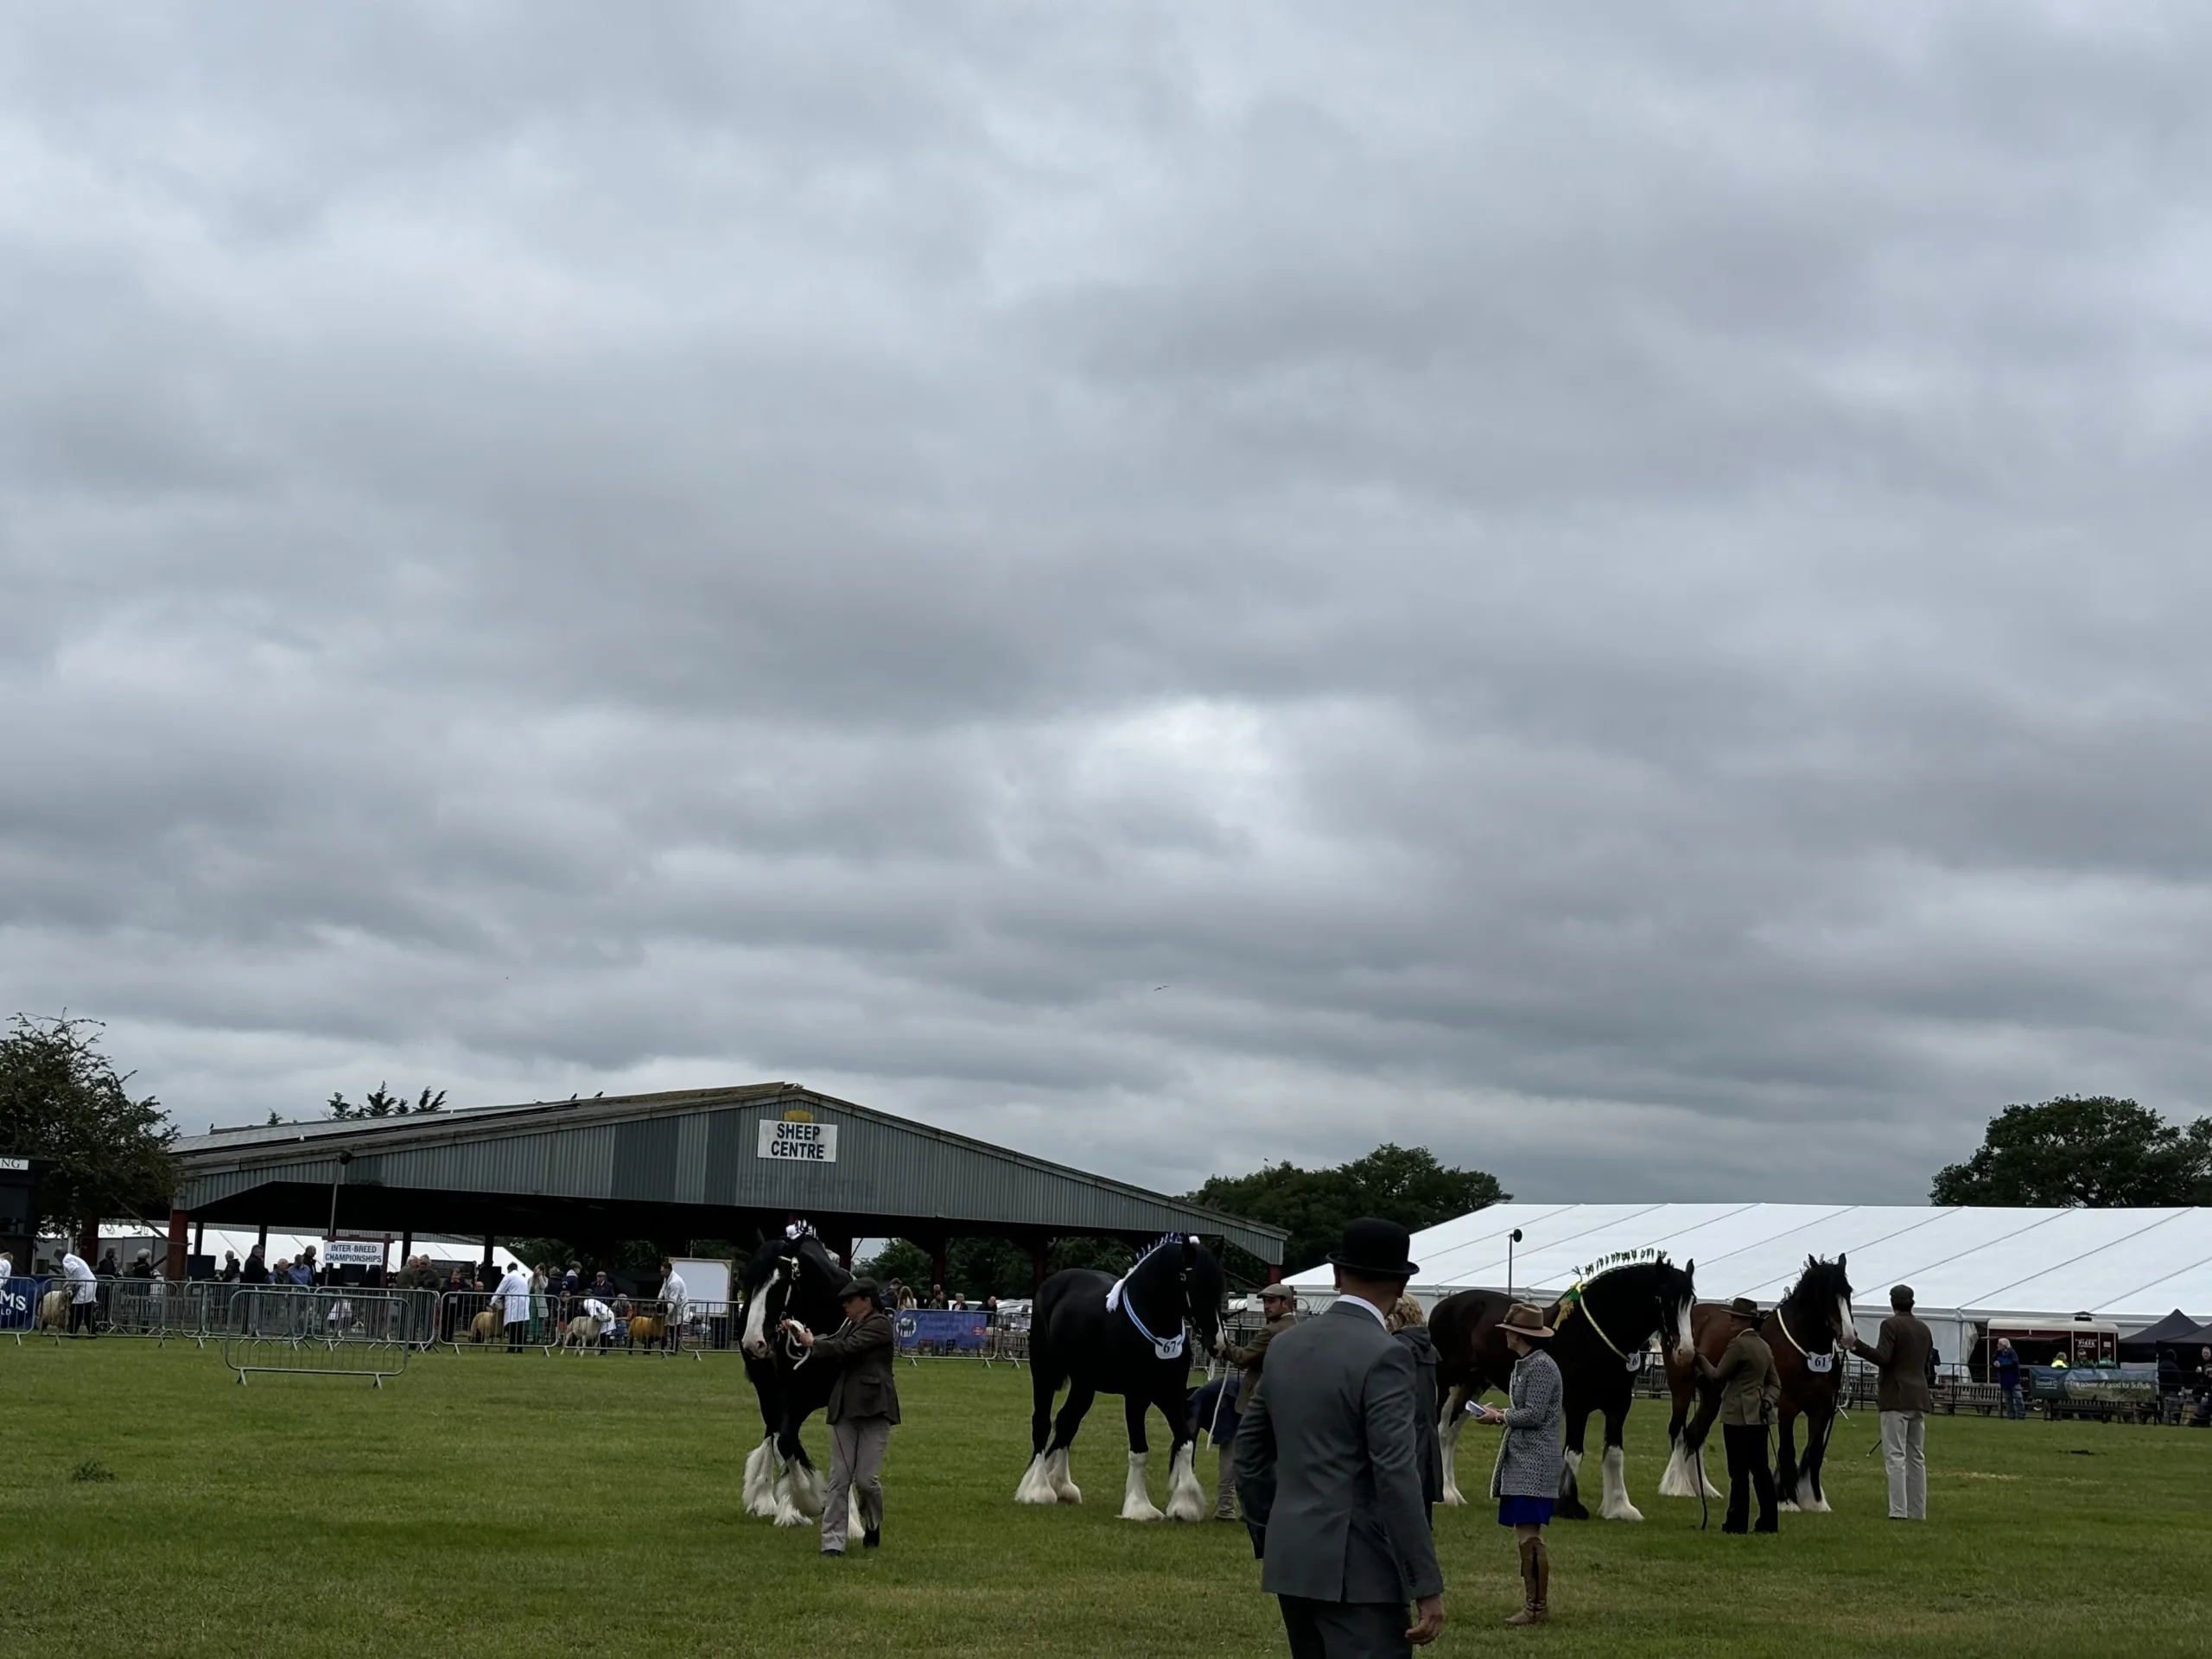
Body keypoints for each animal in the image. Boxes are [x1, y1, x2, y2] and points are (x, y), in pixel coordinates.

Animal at [734, 1221, 854, 1530]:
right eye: (748, 1282)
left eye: (780, 1283)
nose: (753, 1342)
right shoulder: (790, 1394)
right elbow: (786, 1440)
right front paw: (805, 1501)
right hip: (767, 1390)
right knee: (775, 1433)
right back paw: (769, 1498)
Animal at [1013, 1230, 1230, 1530]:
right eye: (1193, 1283)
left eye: (1220, 1286)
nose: (1217, 1344)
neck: (1153, 1328)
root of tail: (1051, 1285)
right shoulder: (1136, 1397)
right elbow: (1140, 1450)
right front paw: (1140, 1508)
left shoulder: (1170, 1395)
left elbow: (1185, 1442)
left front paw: (1185, 1505)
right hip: (1044, 1372)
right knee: (1042, 1424)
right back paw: (1037, 1489)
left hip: (1084, 1384)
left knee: (1067, 1422)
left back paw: (1062, 1486)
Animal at [1424, 1256, 1699, 1530]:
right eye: (1663, 1298)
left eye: (1692, 1302)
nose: (1686, 1352)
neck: (1594, 1337)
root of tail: (1444, 1305)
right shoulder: (1578, 1406)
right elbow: (1574, 1453)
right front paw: (1568, 1506)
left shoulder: (1618, 1407)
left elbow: (1614, 1454)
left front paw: (1619, 1508)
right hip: (1450, 1384)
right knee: (1441, 1430)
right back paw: (1444, 1495)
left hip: (1474, 1385)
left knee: (1451, 1434)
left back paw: (1453, 1494)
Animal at [1663, 1256, 1849, 1522]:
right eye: (1825, 1294)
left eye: (1848, 1292)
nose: (1849, 1336)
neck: (1807, 1349)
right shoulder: (1786, 1406)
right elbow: (1787, 1450)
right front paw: (1787, 1500)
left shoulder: (1823, 1408)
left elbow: (1814, 1451)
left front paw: (1815, 1501)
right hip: (1682, 1388)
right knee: (1678, 1431)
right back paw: (1678, 1486)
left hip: (1712, 1396)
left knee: (1694, 1435)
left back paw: (1703, 1488)